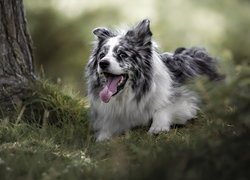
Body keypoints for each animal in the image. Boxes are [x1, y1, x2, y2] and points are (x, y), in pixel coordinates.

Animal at [86, 19, 223, 141]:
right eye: (102, 55)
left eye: (122, 55)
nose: (102, 63)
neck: (130, 94)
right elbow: (108, 127)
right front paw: (103, 136)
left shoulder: (187, 101)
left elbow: (163, 109)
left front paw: (158, 127)